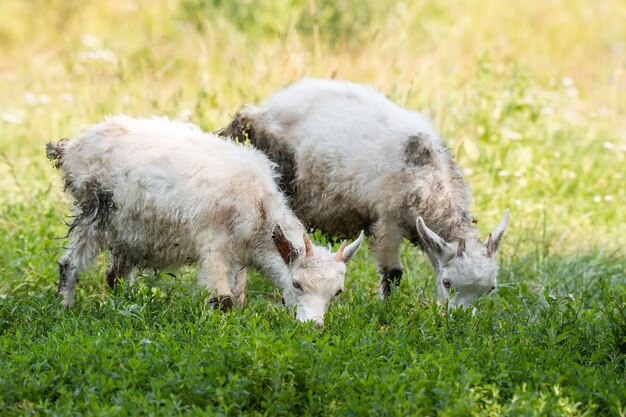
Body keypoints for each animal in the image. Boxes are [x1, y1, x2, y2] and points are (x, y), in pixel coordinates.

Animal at [47, 114, 360, 324]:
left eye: (337, 292)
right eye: (297, 284)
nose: (313, 327)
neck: (259, 206)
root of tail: (72, 148)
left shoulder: (239, 256)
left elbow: (240, 296)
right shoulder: (214, 245)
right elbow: (223, 300)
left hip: (129, 231)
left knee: (116, 277)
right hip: (93, 211)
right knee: (70, 264)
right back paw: (64, 307)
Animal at [219, 78, 508, 308]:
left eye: (490, 289)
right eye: (448, 283)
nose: (460, 320)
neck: (427, 171)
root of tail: (258, 112)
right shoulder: (388, 220)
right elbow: (392, 272)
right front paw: (388, 310)